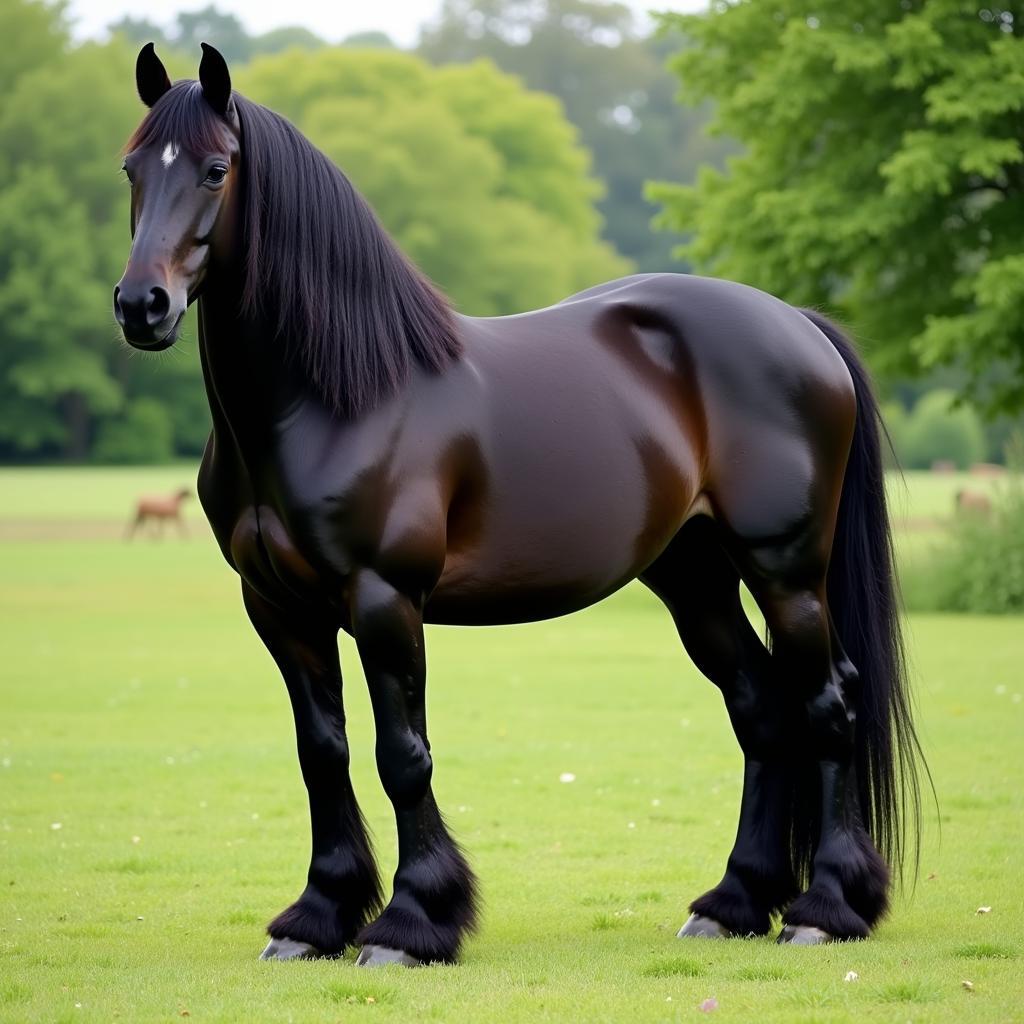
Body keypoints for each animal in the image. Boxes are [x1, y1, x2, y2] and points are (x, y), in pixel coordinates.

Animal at [114, 41, 929, 966]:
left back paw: (824, 908)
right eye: (131, 168)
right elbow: (321, 753)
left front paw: (412, 922)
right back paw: (733, 902)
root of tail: (796, 324)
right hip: (694, 577)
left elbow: (403, 756)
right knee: (761, 709)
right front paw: (317, 916)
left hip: (786, 570)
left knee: (828, 704)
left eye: (216, 169)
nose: (141, 305)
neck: (338, 397)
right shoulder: (280, 608)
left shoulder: (384, 600)